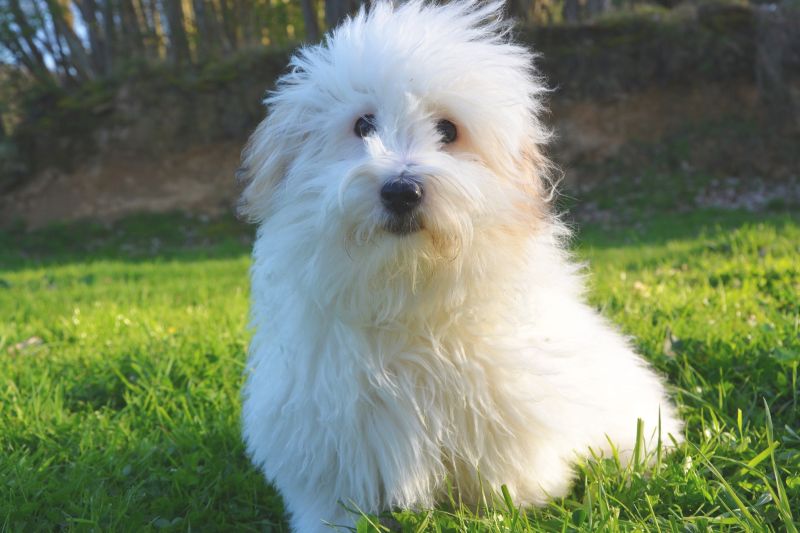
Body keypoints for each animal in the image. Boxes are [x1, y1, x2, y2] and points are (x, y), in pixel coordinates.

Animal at [238, 2, 680, 528]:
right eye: (363, 125)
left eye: (448, 131)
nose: (401, 190)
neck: (404, 287)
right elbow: (333, 500)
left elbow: (502, 482)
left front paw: (504, 509)